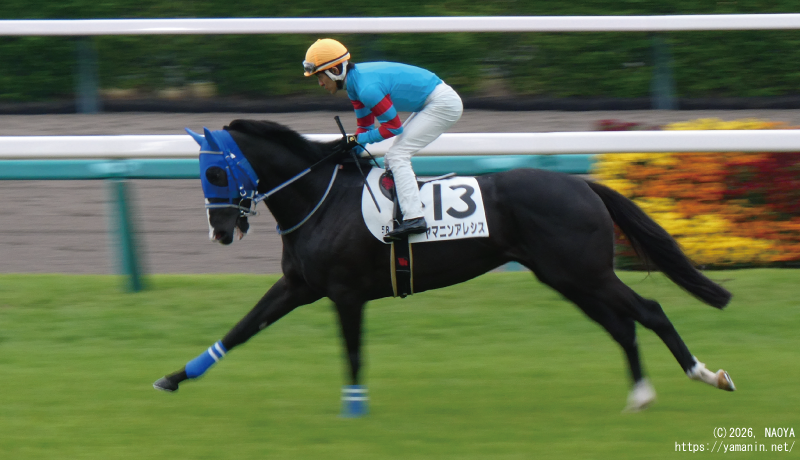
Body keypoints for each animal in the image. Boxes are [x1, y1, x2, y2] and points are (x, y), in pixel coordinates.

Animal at [154, 119, 735, 415]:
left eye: (214, 173)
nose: (220, 230)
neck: (321, 198)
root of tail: (582, 184)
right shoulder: (299, 285)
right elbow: (240, 329)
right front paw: (174, 378)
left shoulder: (345, 292)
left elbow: (353, 351)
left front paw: (355, 408)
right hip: (567, 276)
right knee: (622, 325)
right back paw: (640, 394)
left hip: (584, 272)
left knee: (649, 310)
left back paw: (708, 374)